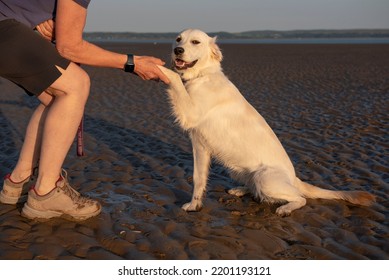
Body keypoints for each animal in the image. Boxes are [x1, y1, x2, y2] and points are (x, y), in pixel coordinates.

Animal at [156, 29, 374, 215]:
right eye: (178, 39)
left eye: (195, 42)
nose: (177, 50)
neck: (203, 75)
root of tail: (294, 178)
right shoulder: (200, 146)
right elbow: (199, 179)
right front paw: (195, 205)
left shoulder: (191, 115)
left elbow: (174, 76)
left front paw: (158, 67)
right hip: (242, 170)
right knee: (256, 188)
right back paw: (240, 190)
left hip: (264, 178)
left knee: (300, 198)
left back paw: (285, 208)